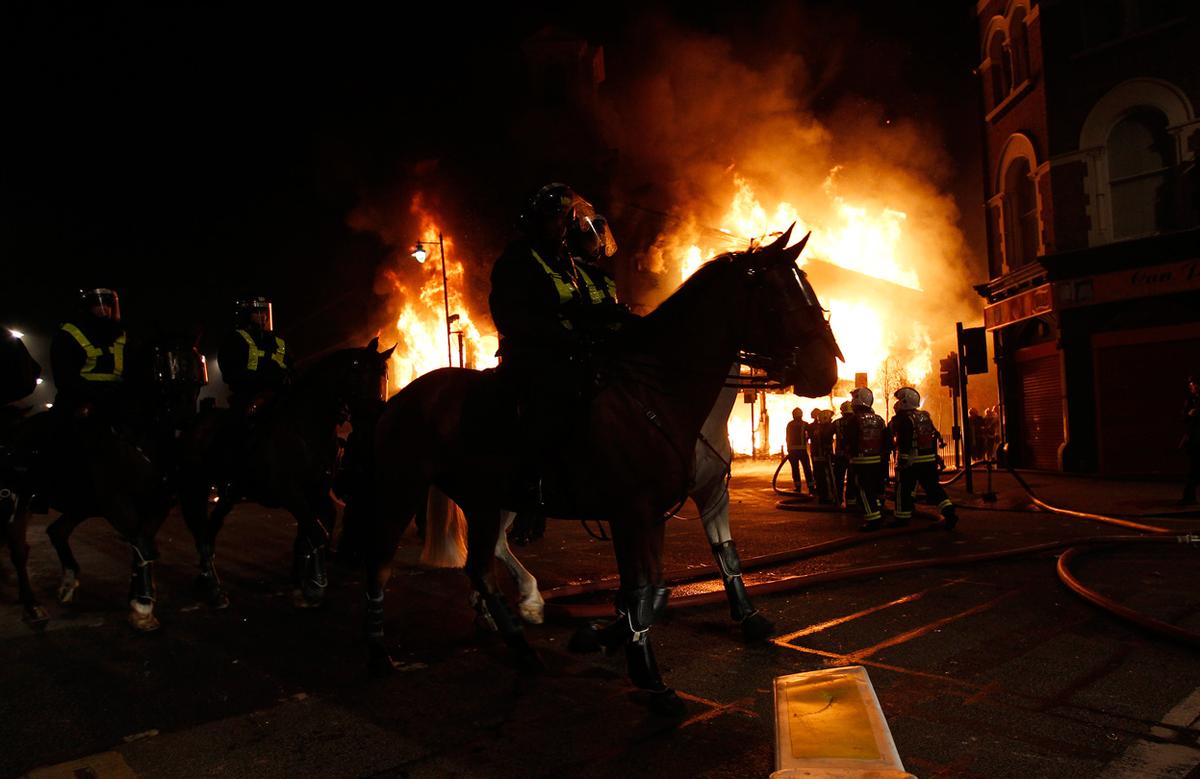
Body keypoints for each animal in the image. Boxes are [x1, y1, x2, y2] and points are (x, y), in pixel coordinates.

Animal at [360, 224, 840, 710]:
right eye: (778, 296)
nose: (826, 373)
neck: (654, 394)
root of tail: (404, 397)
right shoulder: (632, 513)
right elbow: (642, 587)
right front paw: (647, 674)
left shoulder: (665, 508)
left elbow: (658, 585)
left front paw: (611, 639)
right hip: (402, 491)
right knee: (382, 561)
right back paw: (382, 652)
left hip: (483, 501)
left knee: (480, 565)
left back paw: (518, 642)